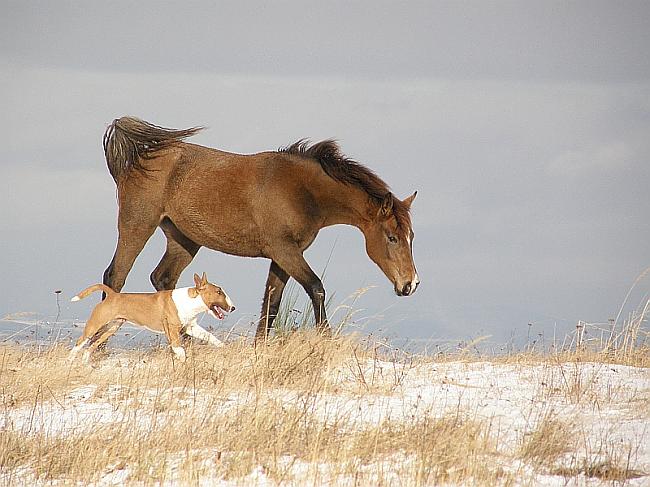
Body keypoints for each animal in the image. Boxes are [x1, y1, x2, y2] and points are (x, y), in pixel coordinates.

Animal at [67, 274, 233, 362]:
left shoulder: (190, 327)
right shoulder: (171, 330)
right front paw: (182, 361)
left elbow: (210, 336)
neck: (189, 301)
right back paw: (70, 361)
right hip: (94, 325)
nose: (233, 308)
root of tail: (112, 294)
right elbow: (179, 349)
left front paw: (224, 347)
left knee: (92, 345)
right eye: (218, 292)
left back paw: (86, 363)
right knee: (80, 343)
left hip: (111, 328)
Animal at [99, 118, 418, 340]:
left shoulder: (282, 256)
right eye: (392, 237)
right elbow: (316, 288)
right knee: (114, 277)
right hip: (137, 226)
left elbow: (271, 305)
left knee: (164, 279)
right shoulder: (284, 250)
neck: (302, 190)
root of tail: (138, 158)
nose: (410, 284)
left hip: (184, 240)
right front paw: (326, 340)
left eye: (410, 237)